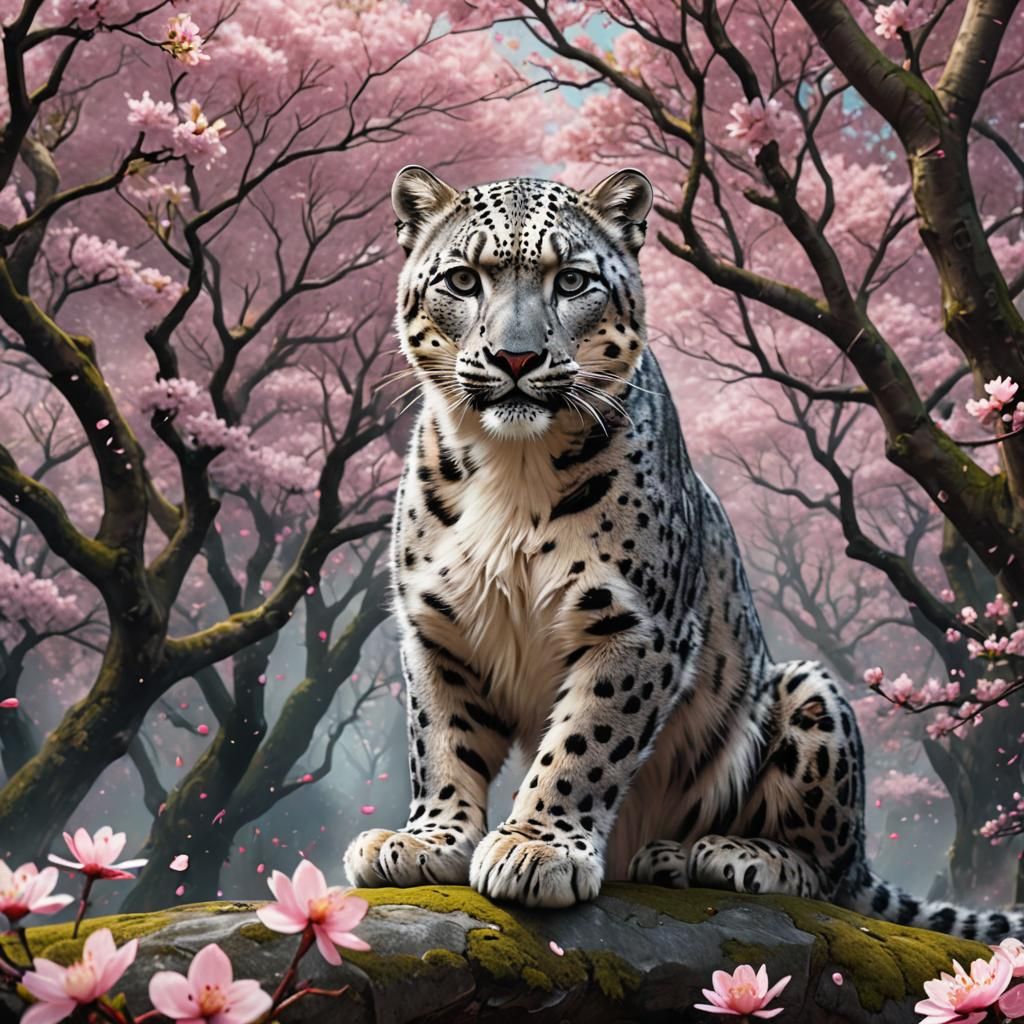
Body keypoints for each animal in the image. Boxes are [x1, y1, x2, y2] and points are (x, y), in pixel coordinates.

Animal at [343, 165, 1023, 942]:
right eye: (462, 279)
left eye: (571, 280)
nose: (517, 357)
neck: (511, 466)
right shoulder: (437, 625)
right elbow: (441, 739)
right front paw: (425, 841)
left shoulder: (636, 622)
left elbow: (584, 741)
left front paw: (537, 848)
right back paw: (663, 859)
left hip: (810, 694)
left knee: (831, 872)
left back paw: (724, 855)